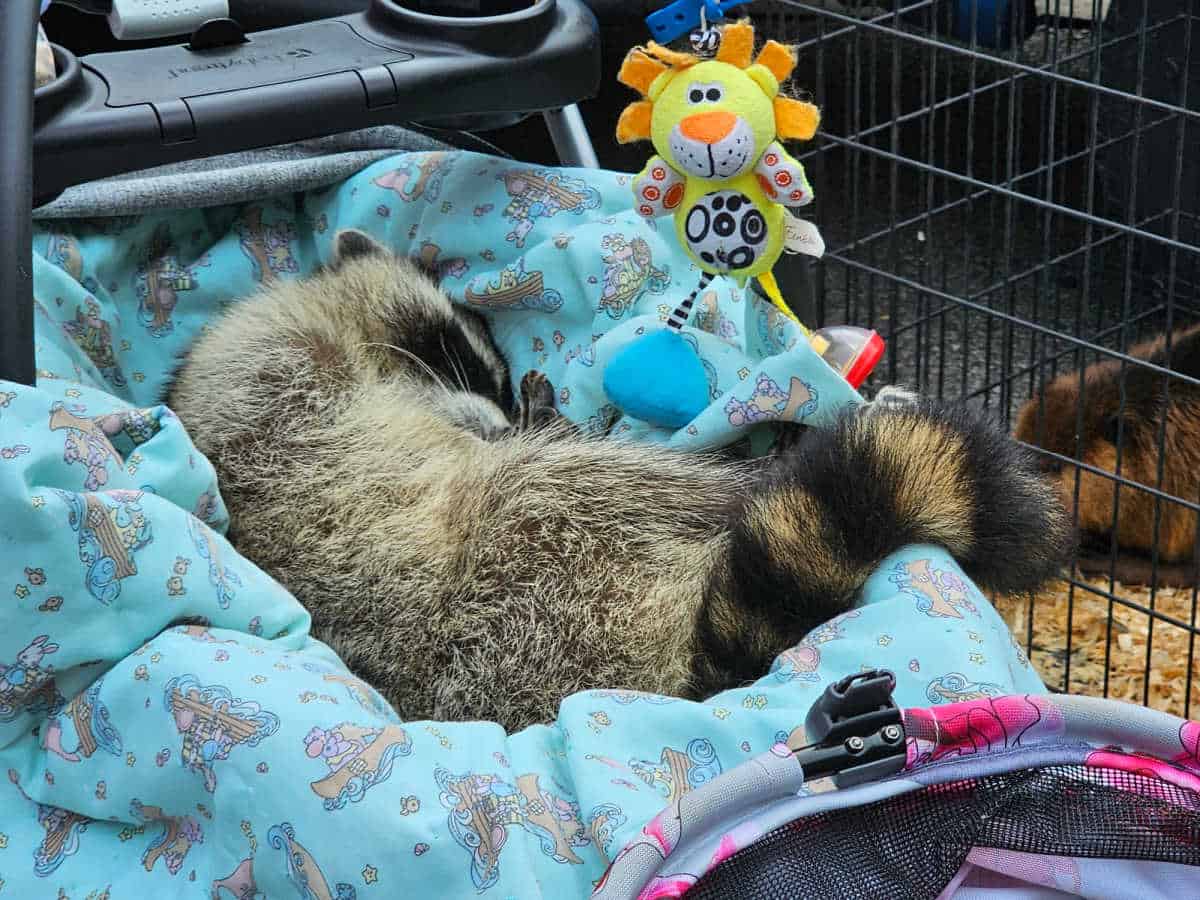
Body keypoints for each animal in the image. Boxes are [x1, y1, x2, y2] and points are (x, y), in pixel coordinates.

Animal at [166, 232, 1070, 734]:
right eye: (464, 352)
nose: (509, 411)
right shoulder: (272, 396)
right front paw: (502, 422)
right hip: (540, 548)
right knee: (606, 480)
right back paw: (762, 464)